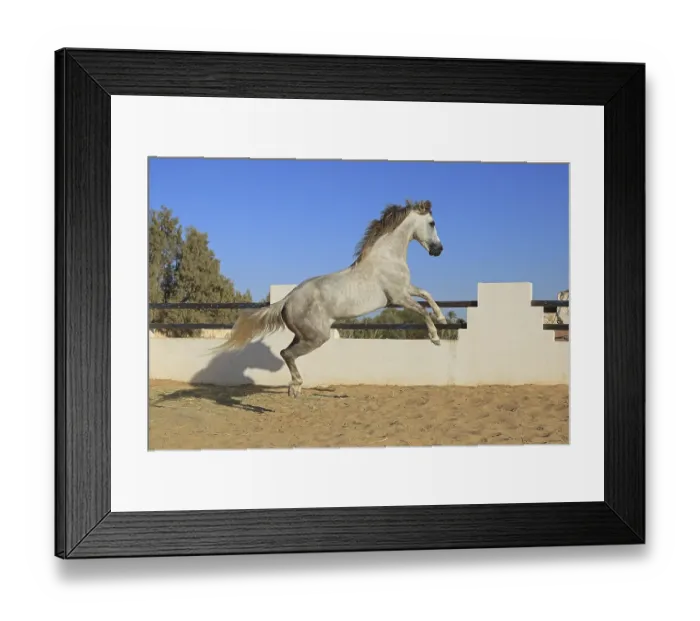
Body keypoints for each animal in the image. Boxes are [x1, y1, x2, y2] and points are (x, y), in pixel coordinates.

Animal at [217, 199, 446, 397]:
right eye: (432, 223)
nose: (439, 249)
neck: (386, 258)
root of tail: (287, 300)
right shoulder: (398, 297)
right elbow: (422, 311)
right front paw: (435, 338)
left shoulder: (407, 289)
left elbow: (427, 294)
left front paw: (442, 318)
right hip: (317, 337)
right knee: (286, 353)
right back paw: (295, 386)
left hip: (303, 335)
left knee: (286, 353)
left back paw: (294, 388)